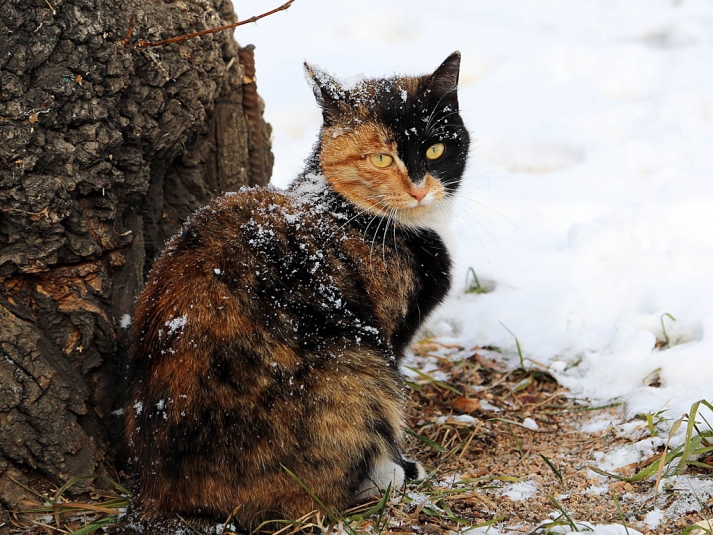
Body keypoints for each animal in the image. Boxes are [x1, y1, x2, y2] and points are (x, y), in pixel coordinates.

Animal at [125, 50, 470, 532]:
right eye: (381, 159)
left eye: (436, 148)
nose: (420, 189)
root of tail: (161, 497)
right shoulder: (387, 337)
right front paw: (400, 465)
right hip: (360, 363)